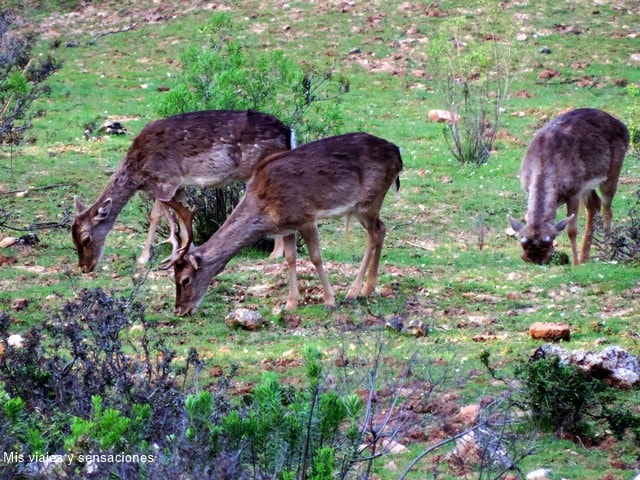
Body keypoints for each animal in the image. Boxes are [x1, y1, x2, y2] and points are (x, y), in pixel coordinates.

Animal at [71, 109, 294, 274]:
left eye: (86, 239)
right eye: (72, 238)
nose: (85, 267)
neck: (138, 171)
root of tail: (289, 132)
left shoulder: (165, 180)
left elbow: (156, 216)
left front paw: (144, 258)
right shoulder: (180, 186)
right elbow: (178, 218)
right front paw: (188, 251)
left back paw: (275, 254)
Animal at [168, 133, 402, 316]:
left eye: (185, 280)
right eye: (174, 277)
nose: (179, 310)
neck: (265, 208)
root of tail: (398, 156)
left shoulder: (306, 216)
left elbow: (316, 258)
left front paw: (329, 300)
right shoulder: (287, 226)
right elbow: (290, 258)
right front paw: (290, 303)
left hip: (368, 201)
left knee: (375, 233)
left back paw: (354, 291)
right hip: (366, 206)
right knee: (382, 228)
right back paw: (368, 288)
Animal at [510, 108, 632, 266]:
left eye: (548, 246)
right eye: (524, 249)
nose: (537, 261)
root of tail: (624, 127)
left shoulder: (574, 191)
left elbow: (571, 230)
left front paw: (575, 263)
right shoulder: (527, 188)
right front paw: (578, 260)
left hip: (613, 169)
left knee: (607, 210)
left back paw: (605, 252)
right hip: (586, 184)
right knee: (594, 205)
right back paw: (584, 256)